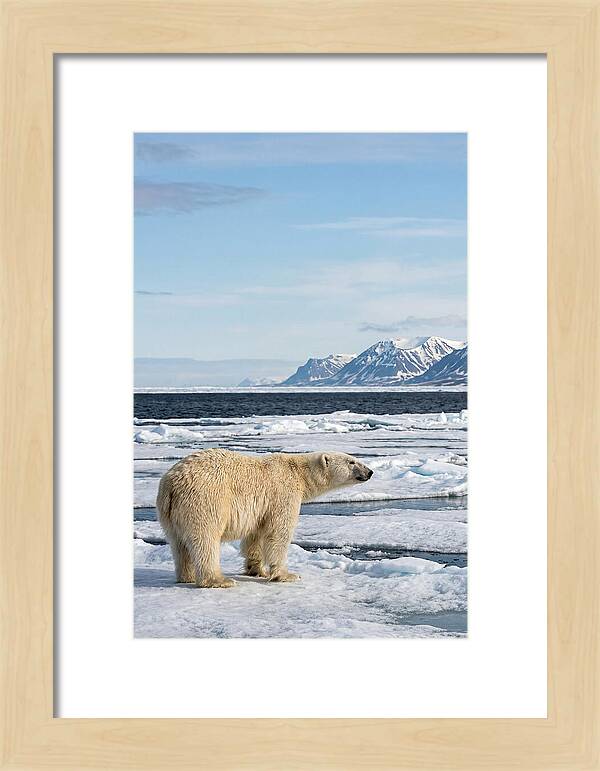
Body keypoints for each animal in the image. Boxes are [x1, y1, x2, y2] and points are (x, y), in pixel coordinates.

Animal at [156, 448, 373, 588]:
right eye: (352, 461)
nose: (370, 472)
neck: (299, 473)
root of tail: (171, 483)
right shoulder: (283, 493)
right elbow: (278, 533)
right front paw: (287, 575)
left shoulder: (262, 509)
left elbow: (255, 536)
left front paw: (257, 570)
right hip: (205, 500)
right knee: (205, 539)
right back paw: (219, 580)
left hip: (169, 513)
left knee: (178, 544)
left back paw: (186, 576)